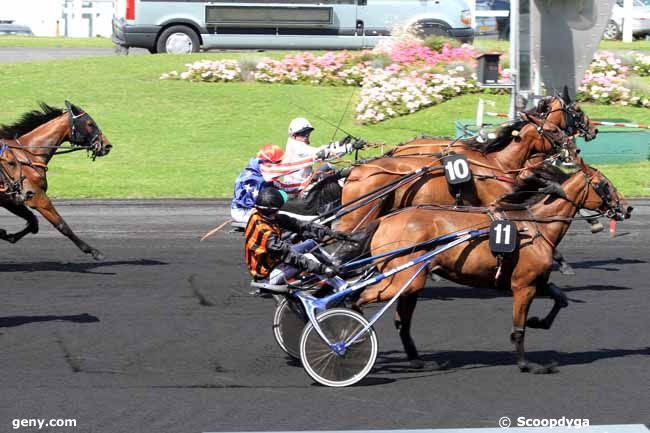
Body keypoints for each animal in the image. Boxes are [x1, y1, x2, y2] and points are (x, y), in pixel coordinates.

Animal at [0, 102, 112, 260]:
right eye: (90, 123)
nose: (107, 145)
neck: (27, 154)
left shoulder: (12, 199)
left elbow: (33, 223)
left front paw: (7, 235)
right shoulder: (37, 196)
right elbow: (61, 225)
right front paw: (92, 251)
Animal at [354, 160, 628, 370]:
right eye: (604, 184)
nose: (627, 208)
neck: (534, 226)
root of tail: (383, 220)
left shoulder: (534, 280)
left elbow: (561, 298)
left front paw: (539, 321)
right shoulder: (523, 286)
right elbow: (518, 328)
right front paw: (526, 364)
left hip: (410, 282)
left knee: (402, 321)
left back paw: (416, 359)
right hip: (403, 277)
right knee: (359, 298)